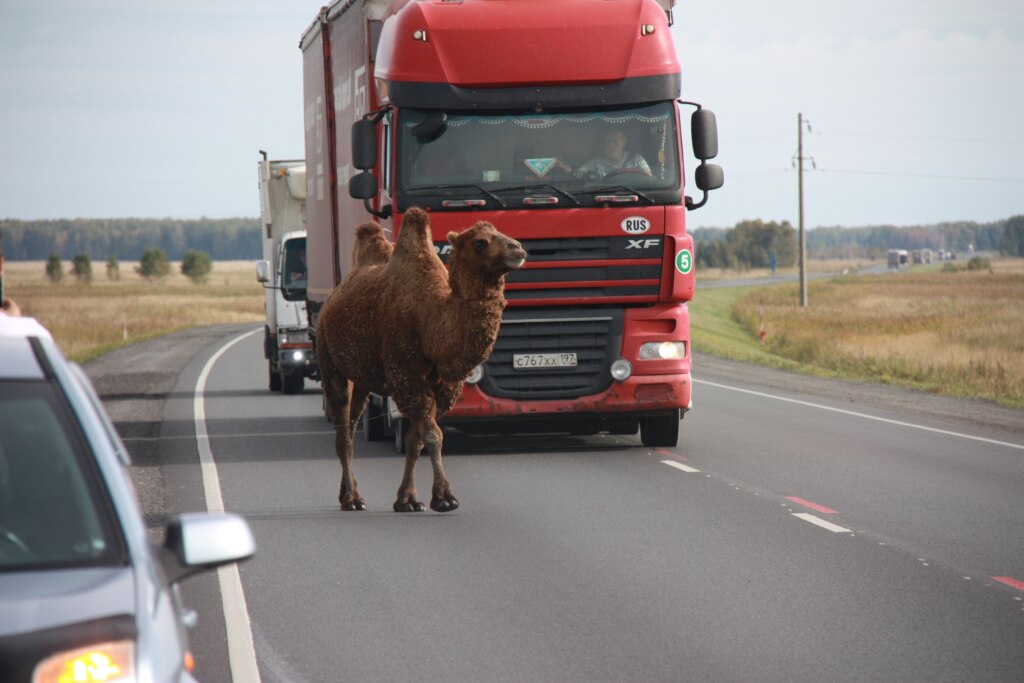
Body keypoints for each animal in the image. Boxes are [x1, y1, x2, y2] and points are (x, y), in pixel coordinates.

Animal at [316, 207, 527, 512]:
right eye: (479, 243)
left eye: (499, 231)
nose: (517, 248)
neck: (429, 320)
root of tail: (330, 301)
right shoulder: (407, 375)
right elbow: (433, 435)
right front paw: (445, 497)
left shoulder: (443, 385)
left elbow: (415, 439)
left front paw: (408, 499)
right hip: (328, 358)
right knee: (343, 431)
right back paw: (352, 500)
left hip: (362, 377)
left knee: (353, 423)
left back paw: (350, 494)